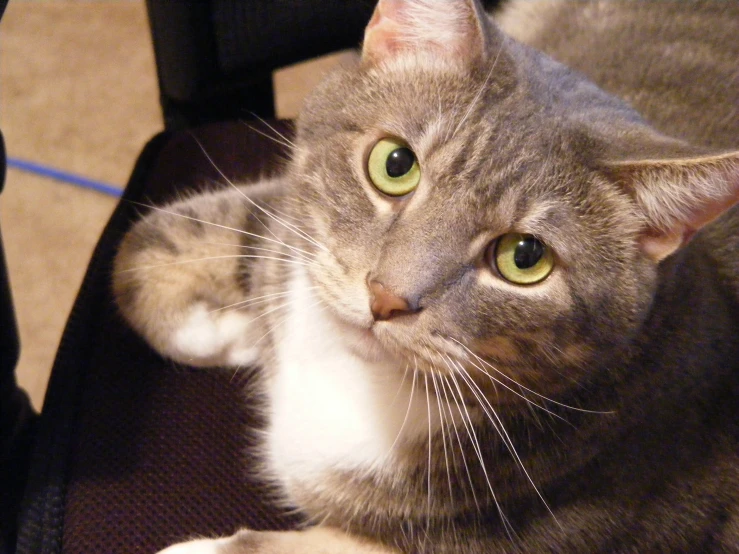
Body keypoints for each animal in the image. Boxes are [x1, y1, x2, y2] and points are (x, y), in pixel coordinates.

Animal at [112, 1, 739, 552]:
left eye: (524, 257)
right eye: (395, 164)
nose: (385, 297)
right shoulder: (286, 226)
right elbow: (145, 246)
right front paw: (233, 330)